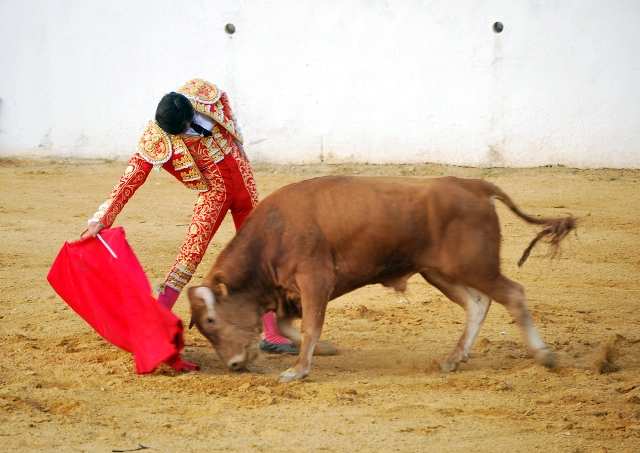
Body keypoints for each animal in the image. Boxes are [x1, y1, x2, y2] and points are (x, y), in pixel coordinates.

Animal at [188, 175, 576, 380]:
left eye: (212, 319)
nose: (234, 364)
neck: (272, 234)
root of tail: (474, 185)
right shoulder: (292, 292)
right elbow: (289, 325)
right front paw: (324, 350)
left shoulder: (315, 280)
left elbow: (311, 325)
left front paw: (297, 371)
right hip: (439, 272)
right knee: (478, 303)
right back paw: (454, 357)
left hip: (475, 267)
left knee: (513, 294)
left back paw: (544, 355)